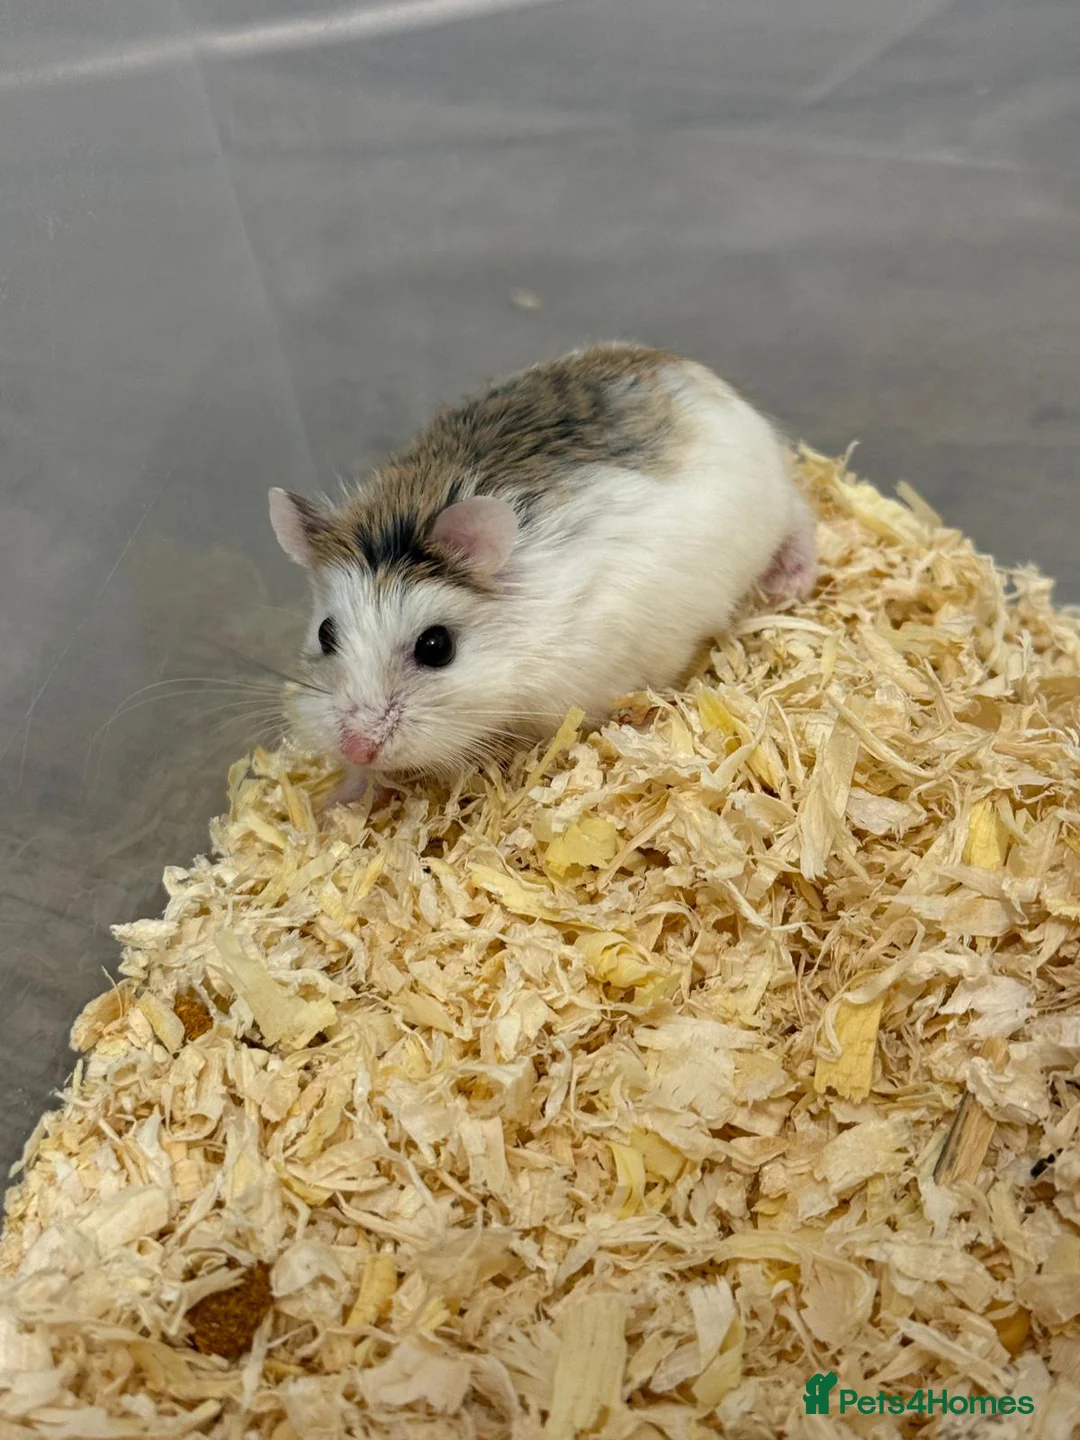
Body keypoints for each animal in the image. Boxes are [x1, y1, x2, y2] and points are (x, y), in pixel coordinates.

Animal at [269, 342, 816, 785]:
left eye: (436, 647)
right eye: (325, 634)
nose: (356, 747)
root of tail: (699, 373)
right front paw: (343, 794)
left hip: (773, 504)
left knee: (802, 515)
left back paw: (790, 582)